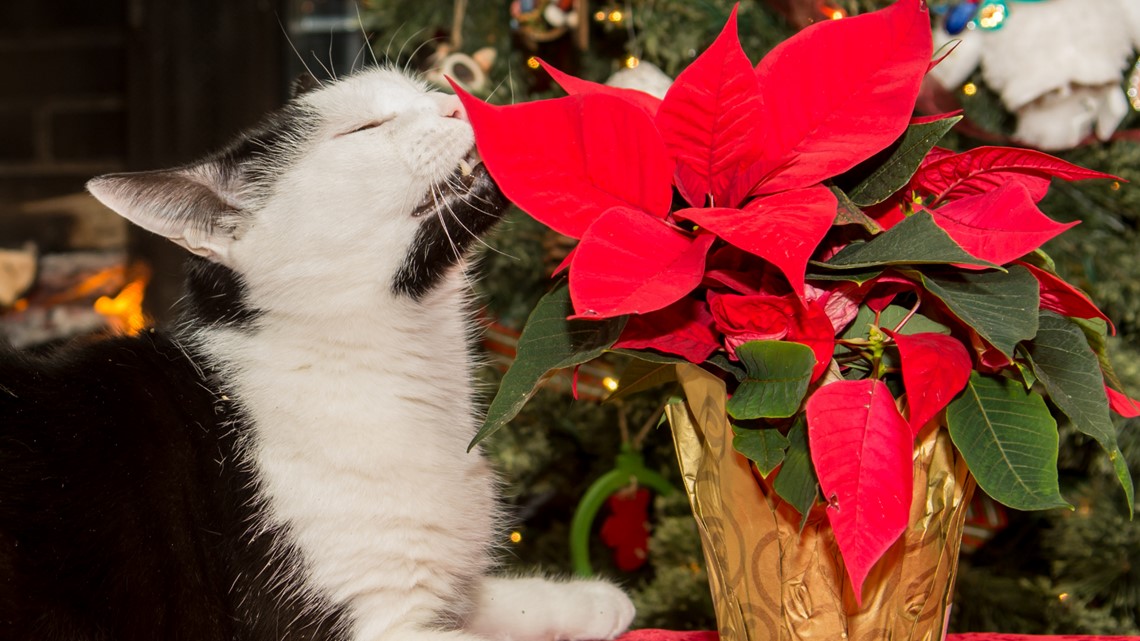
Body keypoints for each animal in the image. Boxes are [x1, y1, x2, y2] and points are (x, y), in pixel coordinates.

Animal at [0, 68, 638, 638]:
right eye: (364, 128)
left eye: (420, 89)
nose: (456, 103)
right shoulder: (368, 626)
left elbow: (486, 600)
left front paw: (592, 601)